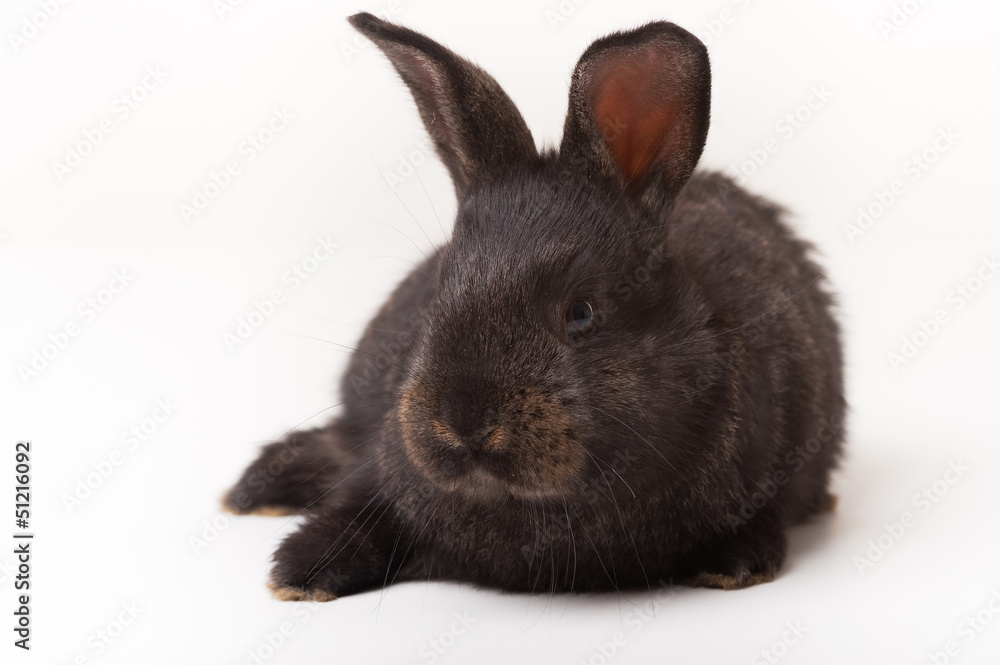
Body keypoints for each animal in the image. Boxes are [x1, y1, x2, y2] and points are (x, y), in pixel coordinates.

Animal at [222, 12, 846, 601]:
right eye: (440, 289)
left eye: (582, 312)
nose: (465, 423)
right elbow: (360, 510)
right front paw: (301, 571)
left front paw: (734, 564)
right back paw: (253, 492)